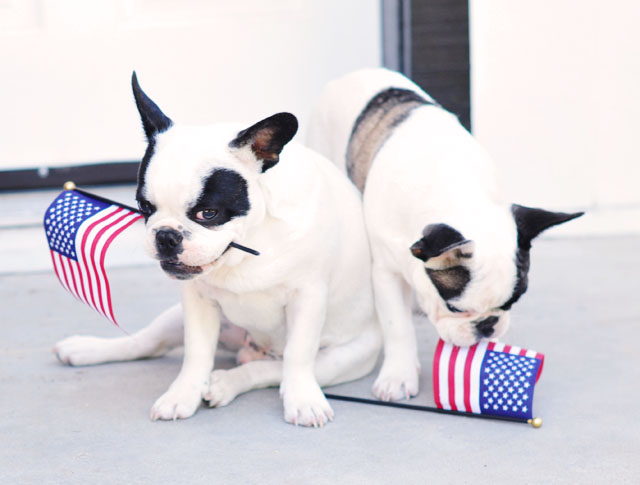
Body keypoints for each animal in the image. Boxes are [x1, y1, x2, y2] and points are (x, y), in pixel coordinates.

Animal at [53, 71, 380, 424]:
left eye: (207, 213)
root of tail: (252, 349)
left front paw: (303, 400)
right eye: (144, 207)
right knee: (145, 342)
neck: (249, 247)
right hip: (177, 318)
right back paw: (87, 349)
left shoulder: (307, 297)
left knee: (273, 368)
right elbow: (196, 353)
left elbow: (297, 355)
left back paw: (226, 384)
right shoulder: (196, 299)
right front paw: (182, 395)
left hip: (342, 358)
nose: (166, 236)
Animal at [308, 68, 584, 400]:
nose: (487, 326)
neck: (459, 194)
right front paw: (398, 376)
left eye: (511, 303)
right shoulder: (386, 270)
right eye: (454, 308)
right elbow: (396, 326)